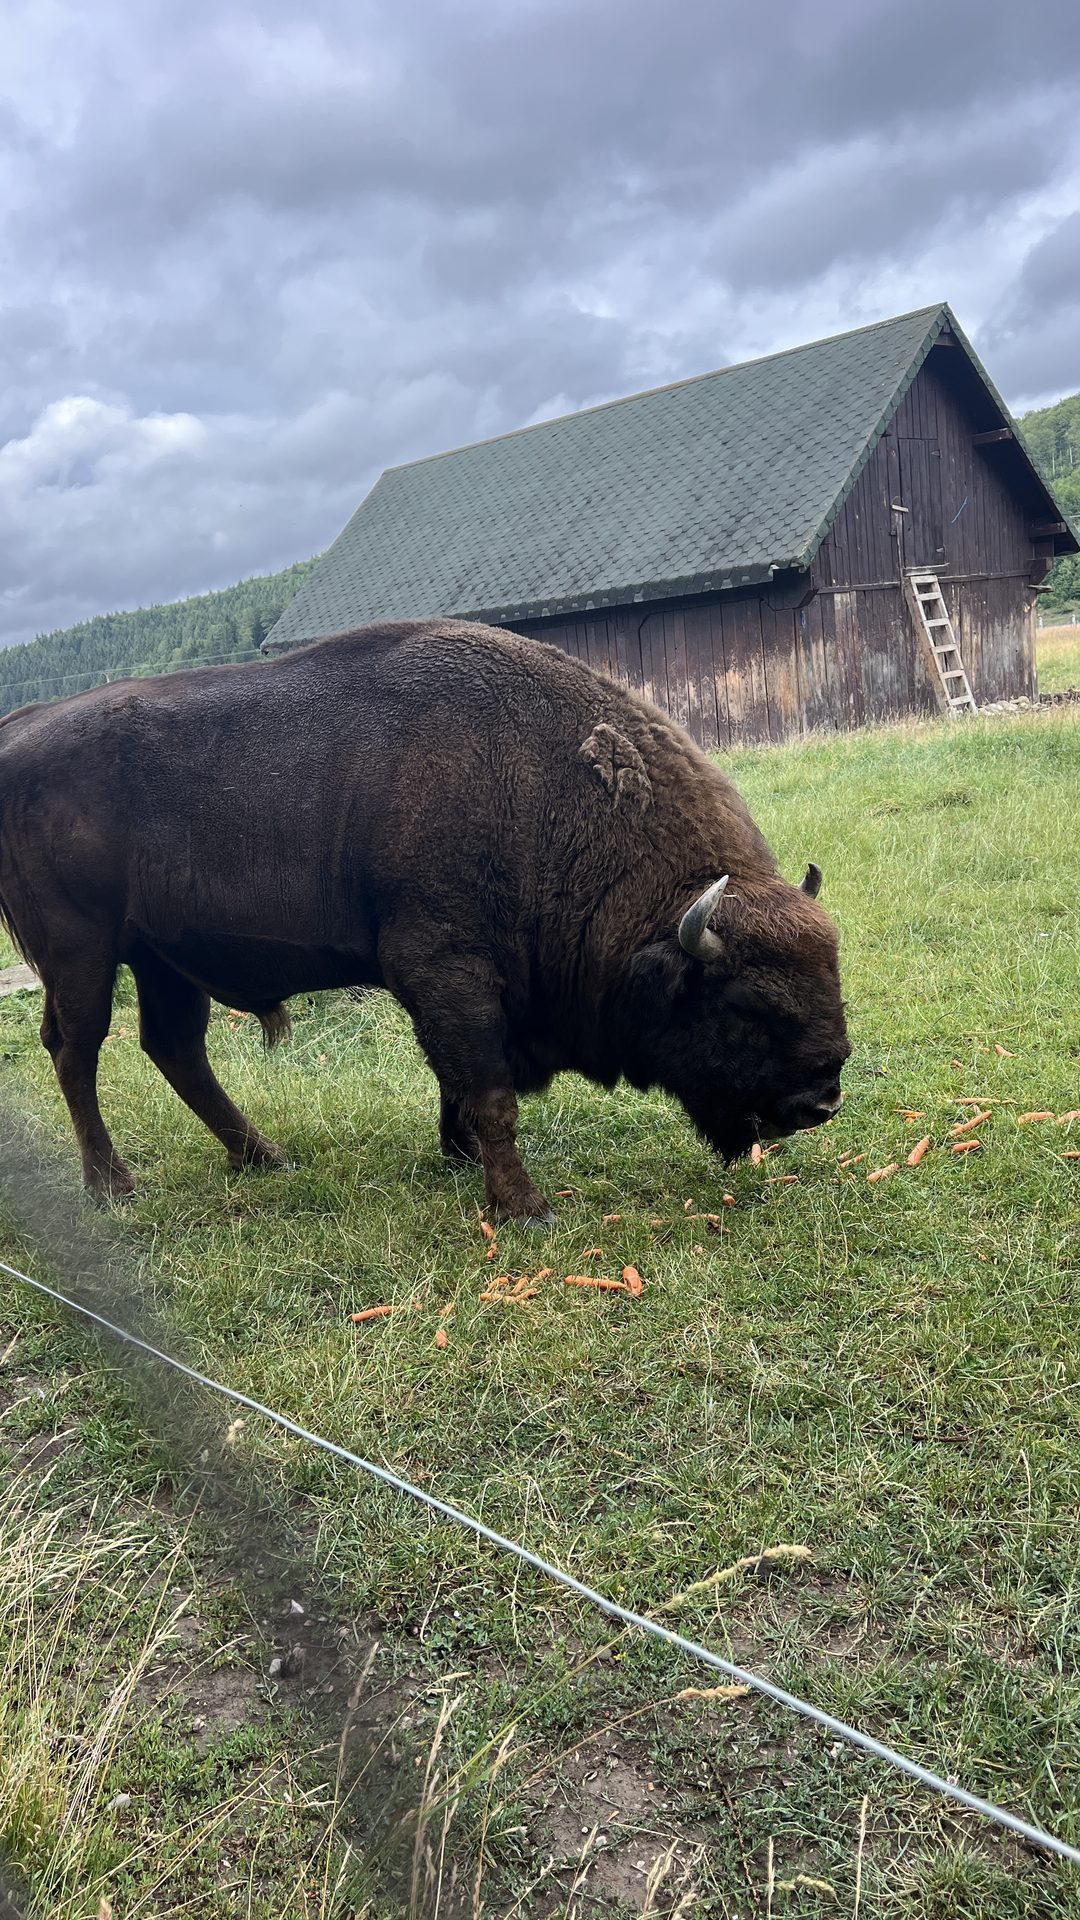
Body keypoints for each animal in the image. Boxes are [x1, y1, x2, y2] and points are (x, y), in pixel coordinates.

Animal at [0, 619, 849, 1220]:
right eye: (743, 1005)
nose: (821, 1101)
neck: (540, 792)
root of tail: (17, 730)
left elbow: (459, 1080)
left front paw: (460, 1156)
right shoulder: (446, 969)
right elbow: (488, 1087)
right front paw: (523, 1207)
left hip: (163, 959)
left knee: (174, 1048)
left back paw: (263, 1156)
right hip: (82, 953)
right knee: (77, 1052)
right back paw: (113, 1186)